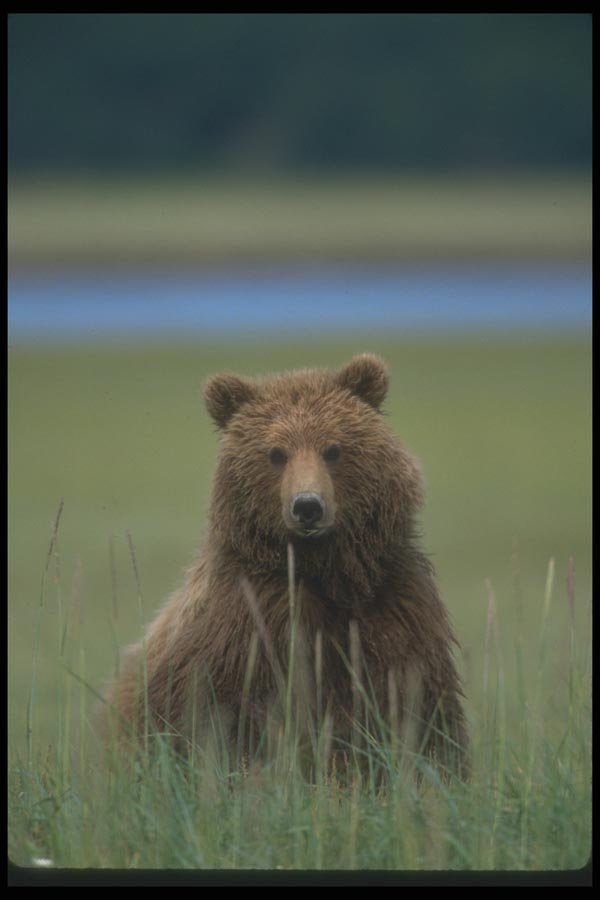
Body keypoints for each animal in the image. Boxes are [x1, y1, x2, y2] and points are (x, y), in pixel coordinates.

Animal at [101, 354, 469, 780]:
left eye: (333, 449)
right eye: (275, 453)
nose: (307, 506)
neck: (328, 571)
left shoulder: (394, 611)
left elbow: (419, 709)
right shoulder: (251, 625)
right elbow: (226, 723)